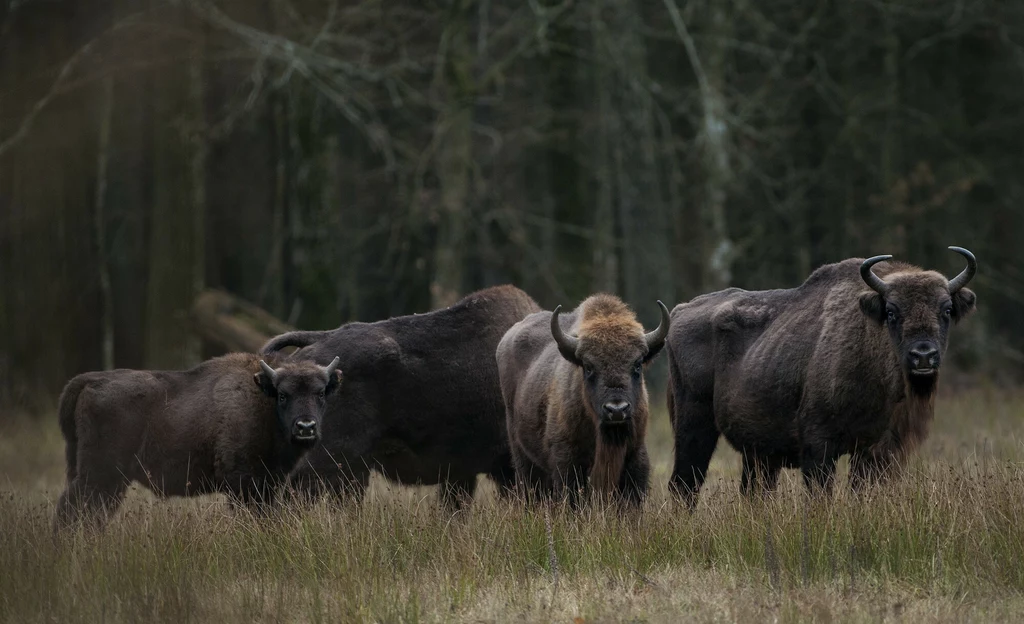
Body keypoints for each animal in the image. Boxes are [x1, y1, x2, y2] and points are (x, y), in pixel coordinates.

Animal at [54, 352, 342, 528]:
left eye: (320, 393)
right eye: (283, 395)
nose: (306, 427)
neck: (262, 400)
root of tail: (91, 380)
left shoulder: (269, 484)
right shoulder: (243, 482)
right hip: (101, 475)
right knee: (72, 509)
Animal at [495, 293, 671, 506]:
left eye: (637, 365)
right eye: (588, 367)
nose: (617, 409)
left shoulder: (635, 455)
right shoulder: (567, 462)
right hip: (522, 455)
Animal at [667, 245, 978, 504]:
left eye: (946, 310)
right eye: (891, 311)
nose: (923, 355)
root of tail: (679, 312)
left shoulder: (875, 451)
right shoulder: (819, 445)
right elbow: (820, 494)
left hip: (756, 454)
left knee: (752, 491)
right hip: (694, 426)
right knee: (684, 484)